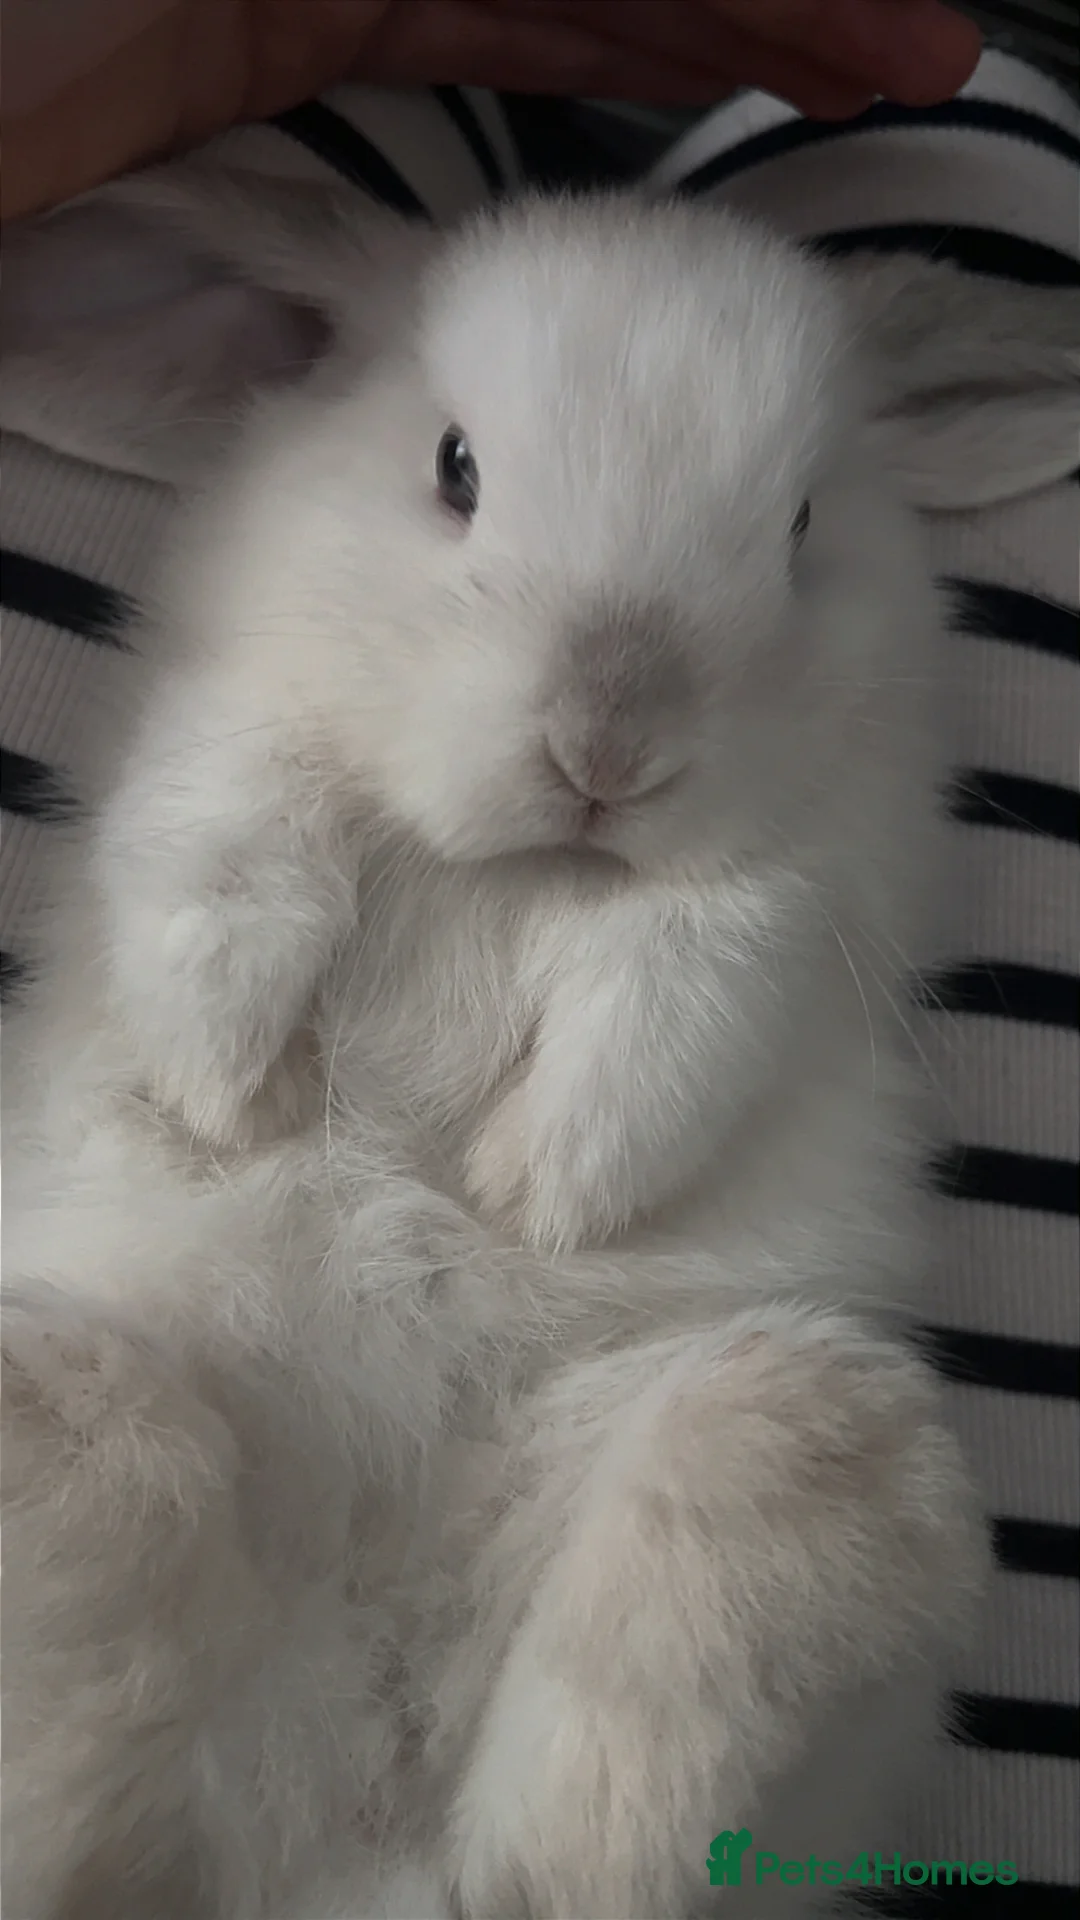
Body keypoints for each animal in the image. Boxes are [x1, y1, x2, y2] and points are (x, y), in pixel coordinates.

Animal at [3, 161, 1078, 1919]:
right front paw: (233, 1094)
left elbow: (693, 986)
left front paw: (544, 1189)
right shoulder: (224, 733)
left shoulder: (791, 893)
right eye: (454, 469)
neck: (518, 872)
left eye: (800, 529)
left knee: (599, 1808)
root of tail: (350, 1843)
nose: (609, 747)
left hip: (807, 1467)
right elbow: (225, 842)